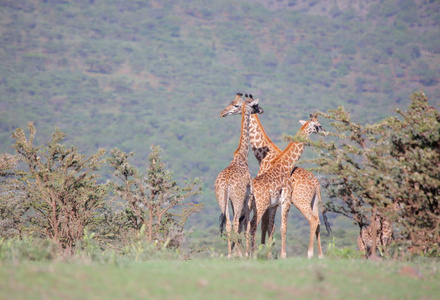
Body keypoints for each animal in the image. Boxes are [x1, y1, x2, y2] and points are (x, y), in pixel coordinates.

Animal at [215, 92, 262, 256]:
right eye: (255, 105)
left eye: (234, 104)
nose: (261, 110)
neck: (242, 155)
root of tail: (227, 183)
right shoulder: (248, 196)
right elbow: (247, 225)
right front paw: (247, 253)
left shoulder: (231, 200)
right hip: (238, 198)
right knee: (236, 222)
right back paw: (240, 253)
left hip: (221, 198)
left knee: (228, 223)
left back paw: (230, 253)